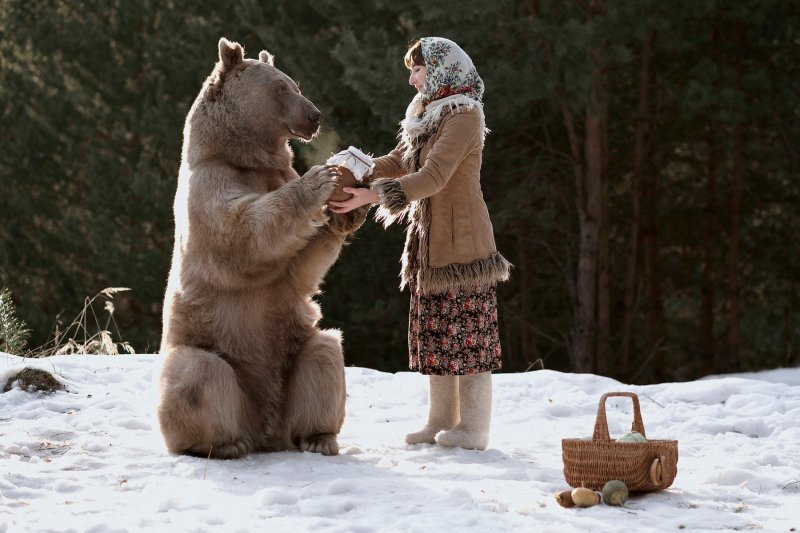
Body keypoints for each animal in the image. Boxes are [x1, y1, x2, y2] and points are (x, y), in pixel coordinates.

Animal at [155, 39, 366, 460]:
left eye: (295, 83)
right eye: (281, 87)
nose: (315, 115)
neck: (244, 157)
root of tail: (265, 430)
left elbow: (300, 266)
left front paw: (348, 211)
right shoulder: (211, 184)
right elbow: (242, 232)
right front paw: (321, 178)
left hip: (291, 356)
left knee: (325, 352)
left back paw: (319, 438)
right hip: (214, 352)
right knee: (198, 373)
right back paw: (223, 443)